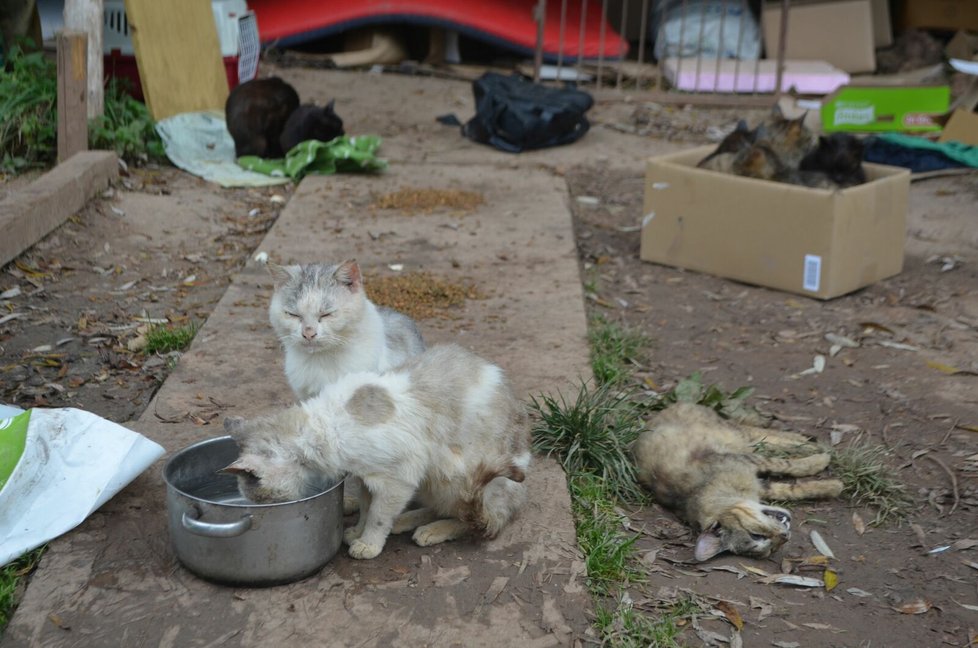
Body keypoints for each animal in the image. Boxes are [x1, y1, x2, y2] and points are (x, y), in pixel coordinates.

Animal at [221, 344, 528, 560]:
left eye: (263, 500)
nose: (266, 512)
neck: (324, 425)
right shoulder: (367, 476)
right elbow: (367, 507)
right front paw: (357, 532)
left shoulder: (400, 475)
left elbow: (379, 515)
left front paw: (368, 544)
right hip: (432, 481)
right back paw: (406, 521)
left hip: (454, 475)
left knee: (480, 519)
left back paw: (431, 530)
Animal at [628, 404, 844, 560]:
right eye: (766, 545)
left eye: (755, 534)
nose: (785, 536)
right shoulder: (758, 480)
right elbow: (789, 488)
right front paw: (831, 485)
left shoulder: (744, 460)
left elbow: (785, 464)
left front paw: (820, 463)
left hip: (733, 432)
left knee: (762, 434)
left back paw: (807, 442)